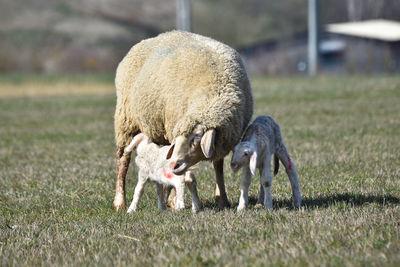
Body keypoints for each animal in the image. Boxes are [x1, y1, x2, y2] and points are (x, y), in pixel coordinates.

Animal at [111, 30, 253, 211]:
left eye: (197, 137)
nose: (175, 165)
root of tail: (146, 41)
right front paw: (174, 200)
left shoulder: (222, 140)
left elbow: (218, 167)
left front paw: (222, 199)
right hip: (126, 120)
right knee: (123, 159)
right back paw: (120, 201)